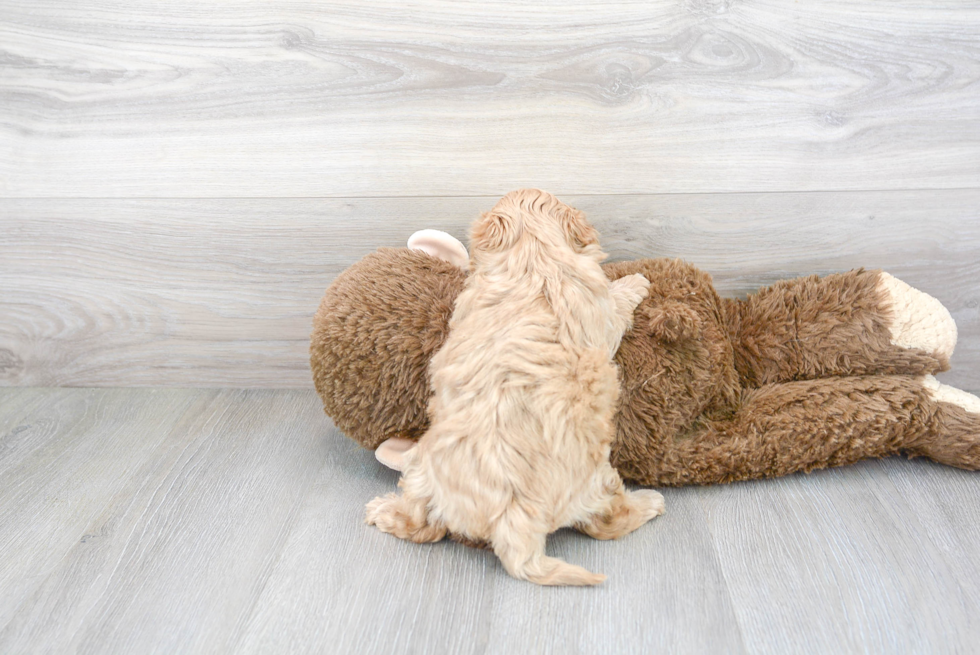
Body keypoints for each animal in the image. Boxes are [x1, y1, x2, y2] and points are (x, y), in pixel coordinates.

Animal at [368, 188, 668, 584]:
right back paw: (650, 502)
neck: (532, 254)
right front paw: (636, 281)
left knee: (420, 524)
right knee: (608, 523)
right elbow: (618, 303)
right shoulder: (600, 309)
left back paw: (382, 511)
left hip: (421, 472)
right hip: (598, 483)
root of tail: (512, 522)